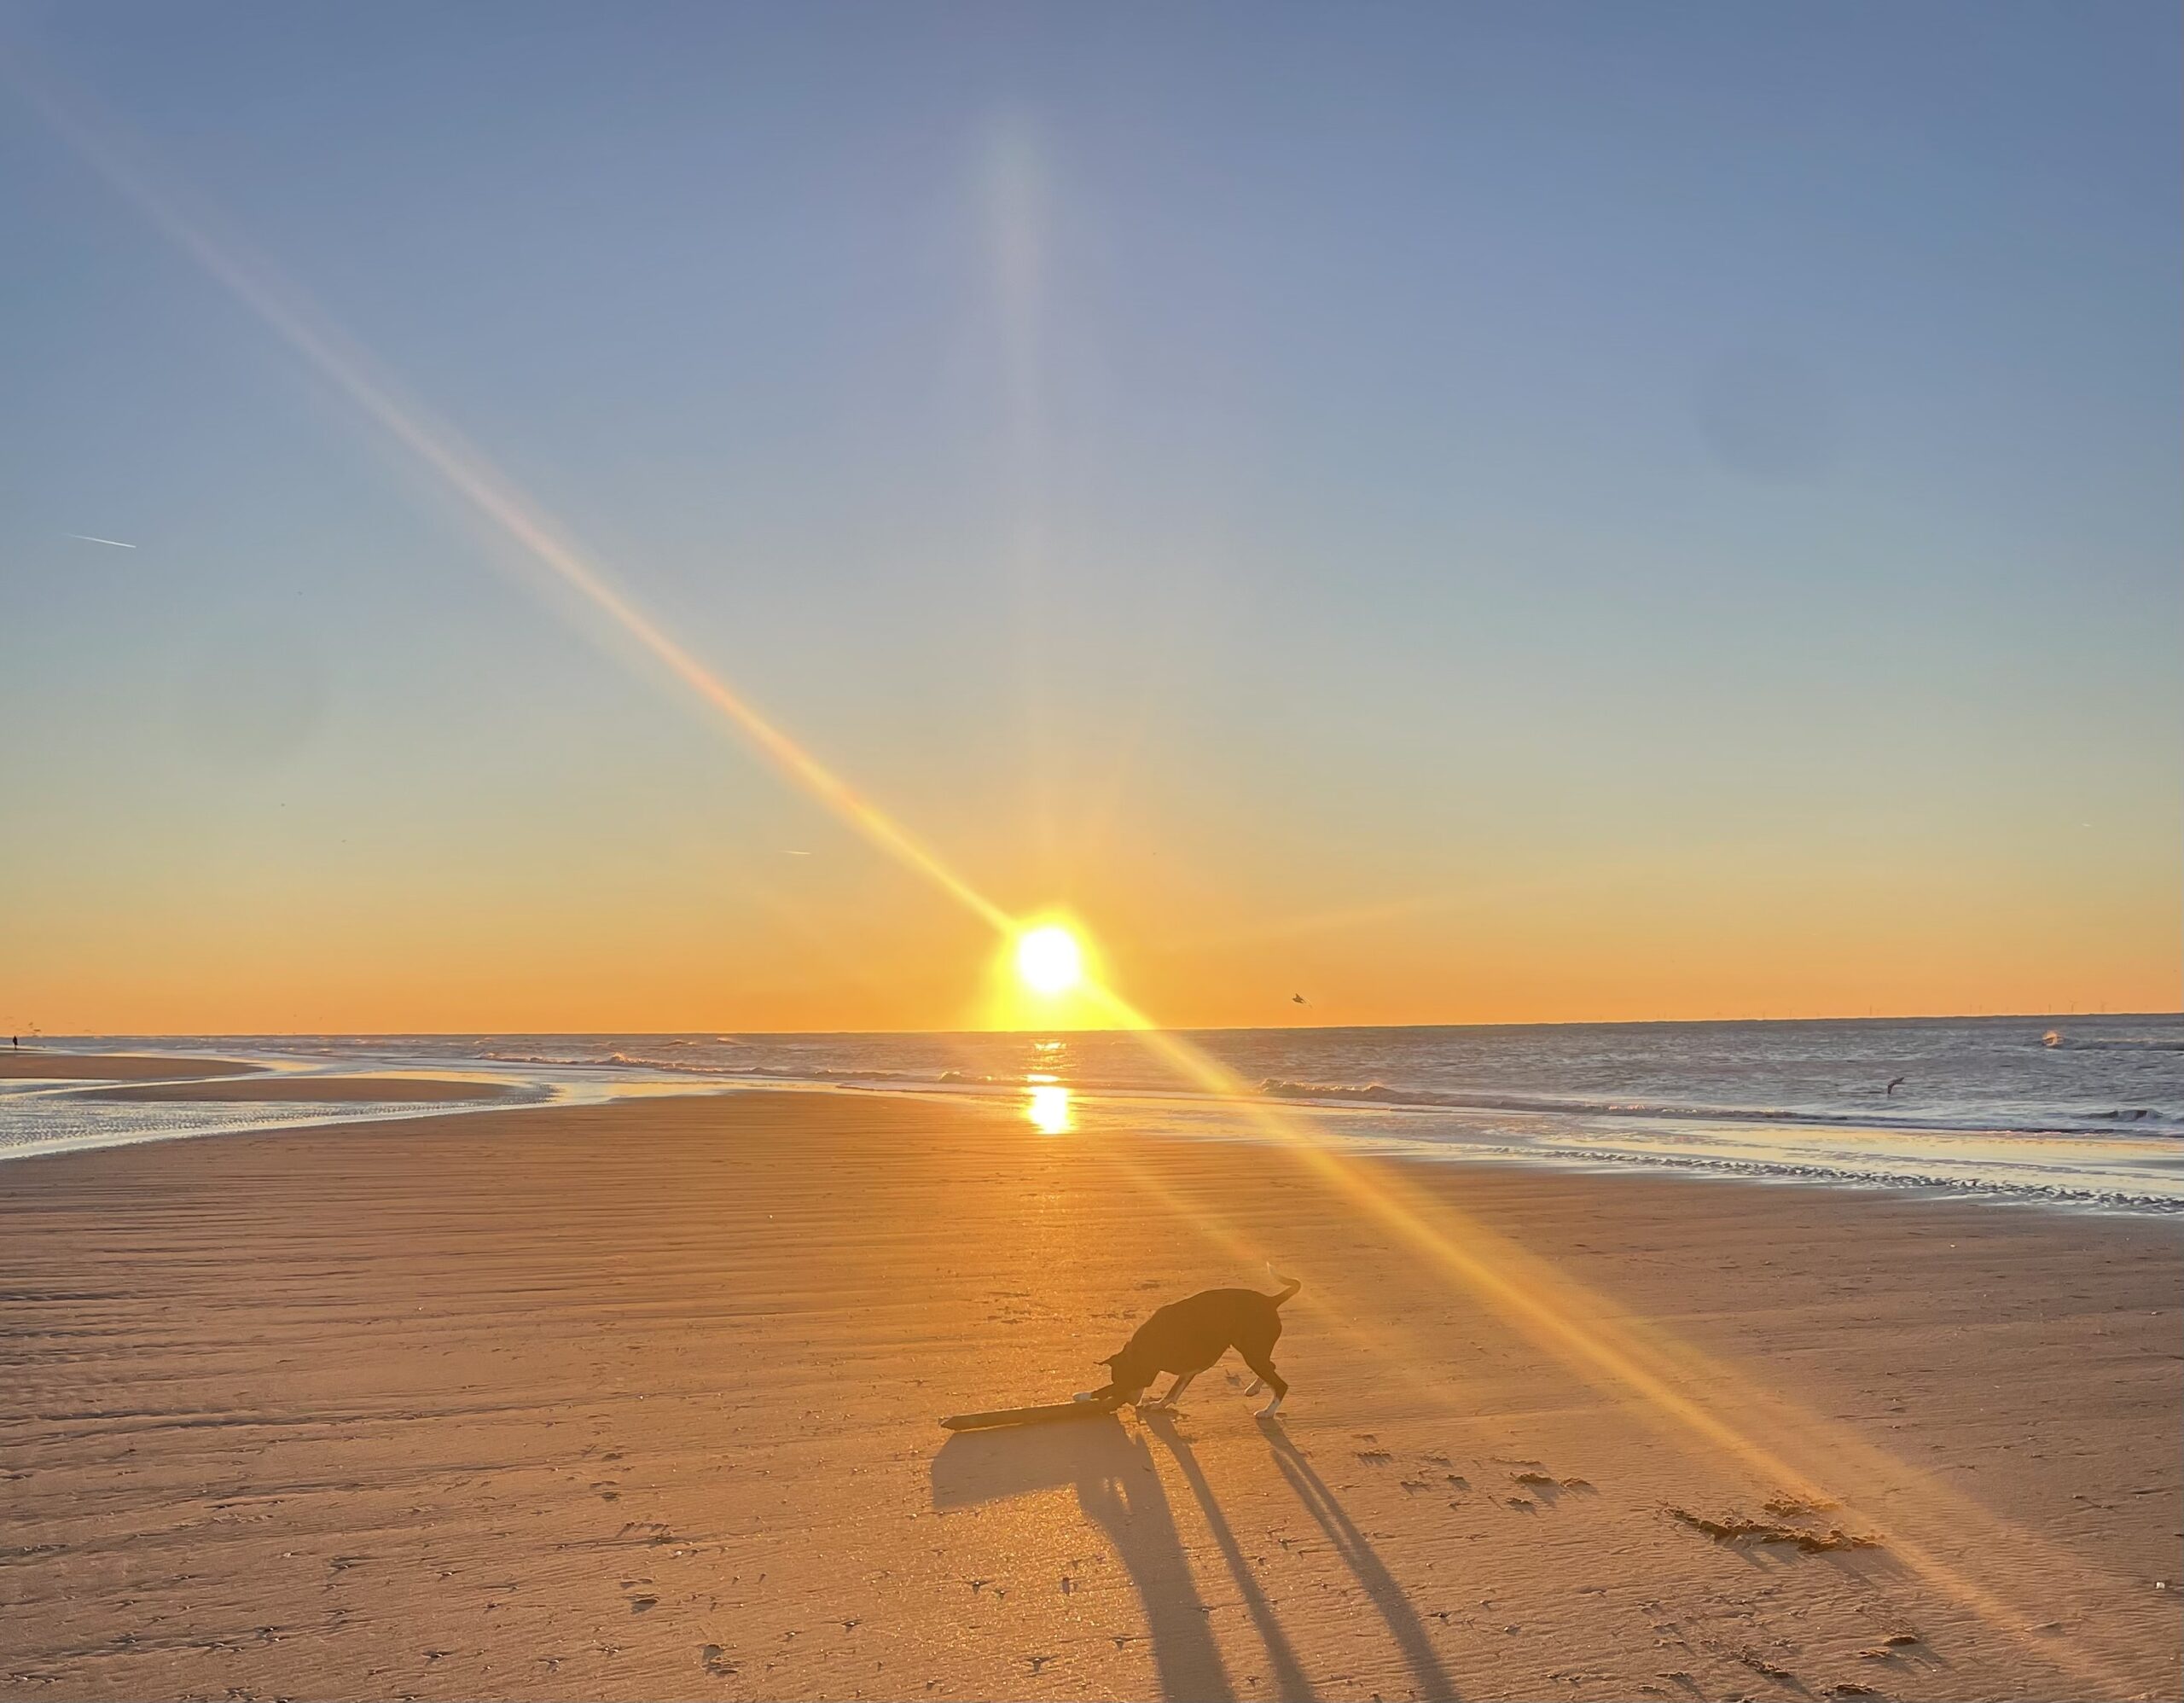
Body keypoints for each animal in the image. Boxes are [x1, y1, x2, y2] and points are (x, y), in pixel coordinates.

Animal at [1074, 1266, 1292, 1415]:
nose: (1130, 1403)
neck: (1140, 1349)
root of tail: (1271, 1301)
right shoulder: (1188, 1370)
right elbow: (1173, 1392)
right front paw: (1159, 1404)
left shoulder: (1149, 1374)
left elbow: (1110, 1389)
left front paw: (1082, 1395)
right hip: (1254, 1351)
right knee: (1271, 1368)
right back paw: (1255, 1389)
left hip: (1253, 1352)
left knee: (1280, 1384)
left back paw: (1268, 1412)